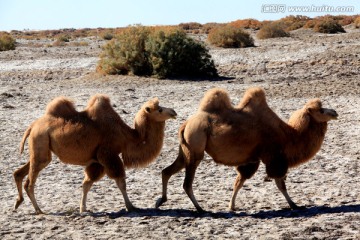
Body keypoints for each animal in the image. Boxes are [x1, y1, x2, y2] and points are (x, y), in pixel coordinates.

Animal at [14, 94, 177, 214]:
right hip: (40, 141)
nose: (174, 112)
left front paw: (83, 209)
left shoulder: (97, 161)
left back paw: (19, 203)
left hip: (41, 149)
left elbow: (87, 183)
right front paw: (131, 207)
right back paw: (39, 210)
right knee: (30, 182)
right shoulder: (108, 154)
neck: (127, 136)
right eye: (159, 109)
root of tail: (33, 125)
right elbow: (120, 182)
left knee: (20, 172)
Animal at [156, 87, 338, 211]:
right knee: (187, 182)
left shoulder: (252, 160)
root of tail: (186, 124)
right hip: (196, 147)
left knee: (167, 171)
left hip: (185, 150)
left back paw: (161, 200)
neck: (288, 135)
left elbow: (239, 182)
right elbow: (280, 183)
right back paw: (200, 209)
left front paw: (231, 206)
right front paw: (294, 205)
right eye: (321, 110)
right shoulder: (274, 157)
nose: (335, 112)